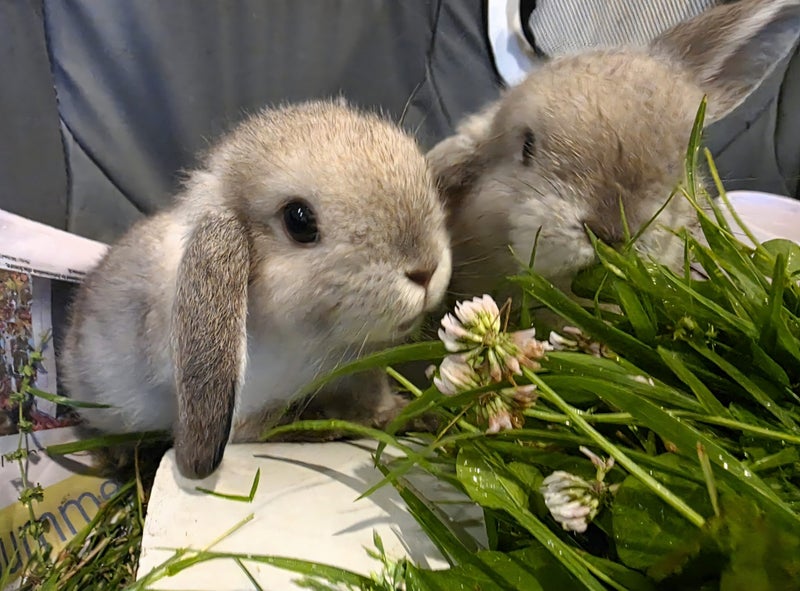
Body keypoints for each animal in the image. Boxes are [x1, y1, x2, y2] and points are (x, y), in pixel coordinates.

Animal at [61, 99, 452, 479]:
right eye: (298, 220)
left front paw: (412, 414)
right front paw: (328, 428)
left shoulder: (363, 375)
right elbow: (272, 427)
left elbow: (375, 400)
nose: (426, 270)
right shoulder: (250, 411)